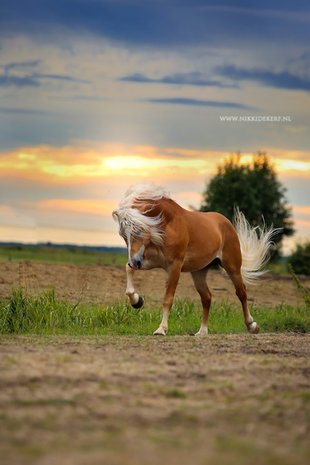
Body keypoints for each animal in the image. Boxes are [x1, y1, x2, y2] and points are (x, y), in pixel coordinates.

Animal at [112, 183, 276, 336]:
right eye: (123, 235)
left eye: (139, 230)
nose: (134, 262)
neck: (167, 224)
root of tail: (226, 223)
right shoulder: (150, 260)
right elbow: (128, 272)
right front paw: (137, 301)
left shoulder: (175, 266)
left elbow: (168, 298)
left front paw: (161, 329)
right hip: (199, 272)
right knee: (207, 297)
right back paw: (202, 331)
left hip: (232, 266)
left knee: (241, 292)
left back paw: (252, 326)